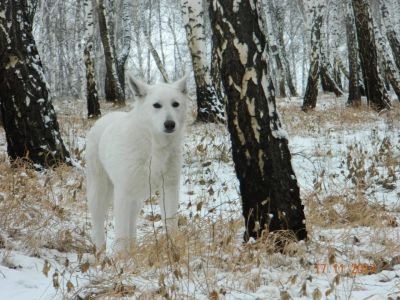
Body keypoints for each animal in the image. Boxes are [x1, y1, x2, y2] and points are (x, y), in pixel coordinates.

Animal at [86, 75, 187, 251]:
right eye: (156, 105)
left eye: (175, 104)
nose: (170, 124)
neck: (154, 146)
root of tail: (102, 119)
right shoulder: (122, 194)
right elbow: (121, 236)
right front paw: (122, 258)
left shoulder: (169, 188)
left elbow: (171, 225)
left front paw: (173, 250)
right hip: (99, 192)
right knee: (98, 225)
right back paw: (100, 253)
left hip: (136, 198)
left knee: (131, 225)